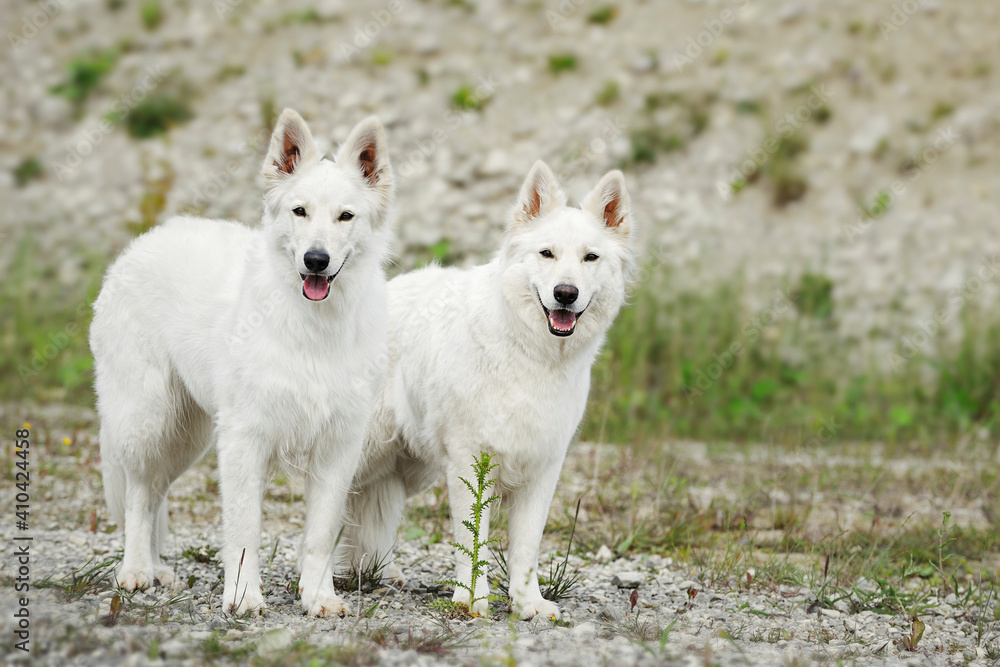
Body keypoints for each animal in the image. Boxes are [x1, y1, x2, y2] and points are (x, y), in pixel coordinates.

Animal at [91, 108, 394, 616]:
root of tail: (145, 241)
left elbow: (320, 534)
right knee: (137, 494)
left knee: (155, 493)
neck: (312, 328)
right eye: (299, 211)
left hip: (188, 437)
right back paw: (135, 570)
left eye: (345, 216)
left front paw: (318, 597)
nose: (316, 260)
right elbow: (245, 527)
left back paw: (156, 568)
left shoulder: (337, 447)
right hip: (147, 420)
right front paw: (243, 596)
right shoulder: (244, 441)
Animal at [344, 159, 636, 620]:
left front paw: (529, 603)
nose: (565, 294)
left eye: (591, 257)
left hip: (407, 467)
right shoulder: (467, 461)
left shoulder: (542, 470)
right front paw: (472, 600)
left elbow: (526, 548)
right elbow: (472, 541)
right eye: (547, 254)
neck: (530, 353)